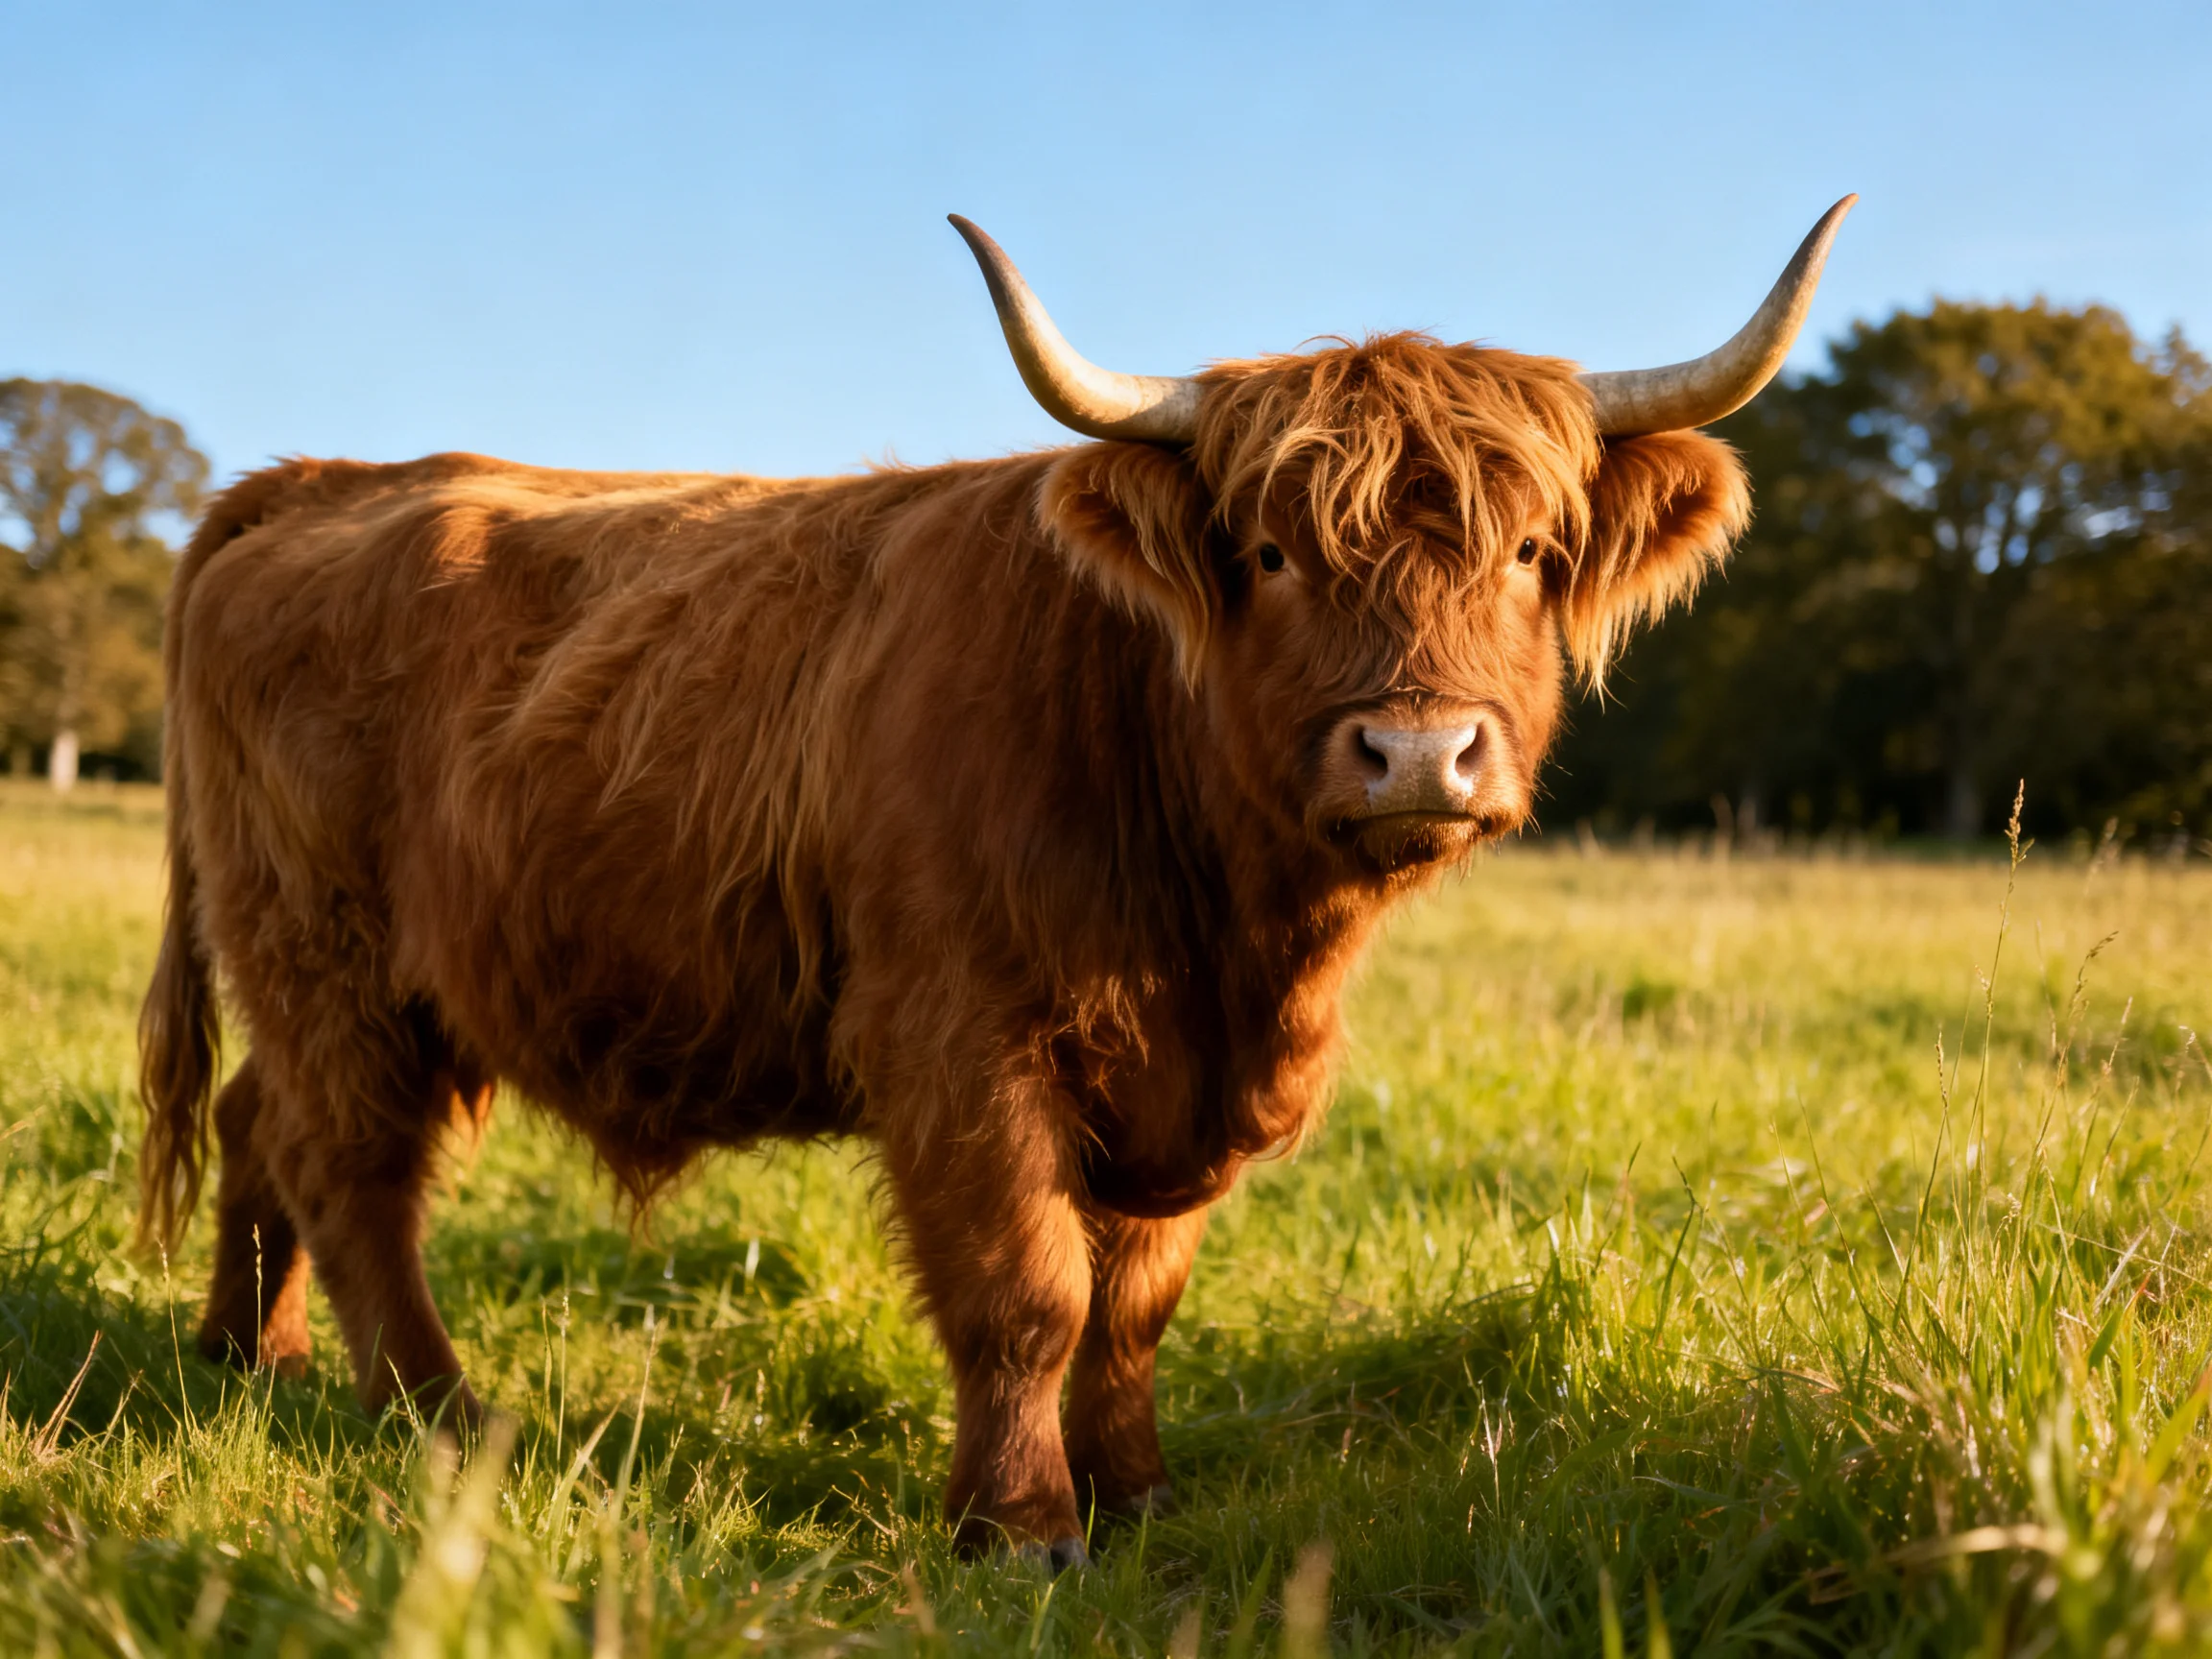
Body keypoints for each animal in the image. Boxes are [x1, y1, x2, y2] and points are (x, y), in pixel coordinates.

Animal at [138, 199, 1853, 1565]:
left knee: (260, 1122)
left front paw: (1137, 1494)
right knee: (351, 1166)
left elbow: (1137, 1302)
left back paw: (248, 1361)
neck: (1222, 931)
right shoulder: (959, 1040)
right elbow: (1028, 1288)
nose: (1418, 753)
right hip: (330, 951)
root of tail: (315, 477)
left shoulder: (1182, 1088)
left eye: (1530, 553)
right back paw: (432, 1410)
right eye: (1273, 555)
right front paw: (1023, 1527)